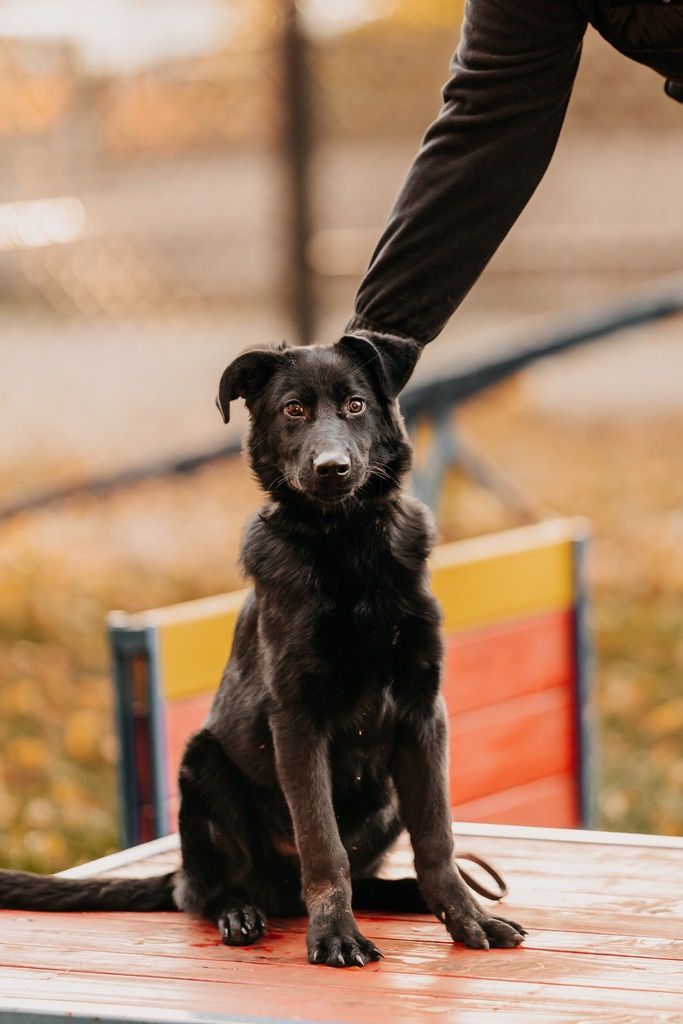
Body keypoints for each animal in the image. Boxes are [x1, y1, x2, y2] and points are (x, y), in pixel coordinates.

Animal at [0, 335, 528, 966]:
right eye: (293, 410)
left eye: (355, 405)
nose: (332, 469)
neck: (347, 547)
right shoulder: (297, 719)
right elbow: (323, 844)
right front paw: (336, 934)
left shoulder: (423, 712)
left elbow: (437, 837)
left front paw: (466, 917)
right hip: (201, 765)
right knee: (203, 892)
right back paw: (239, 911)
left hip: (385, 796)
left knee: (359, 874)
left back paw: (407, 894)